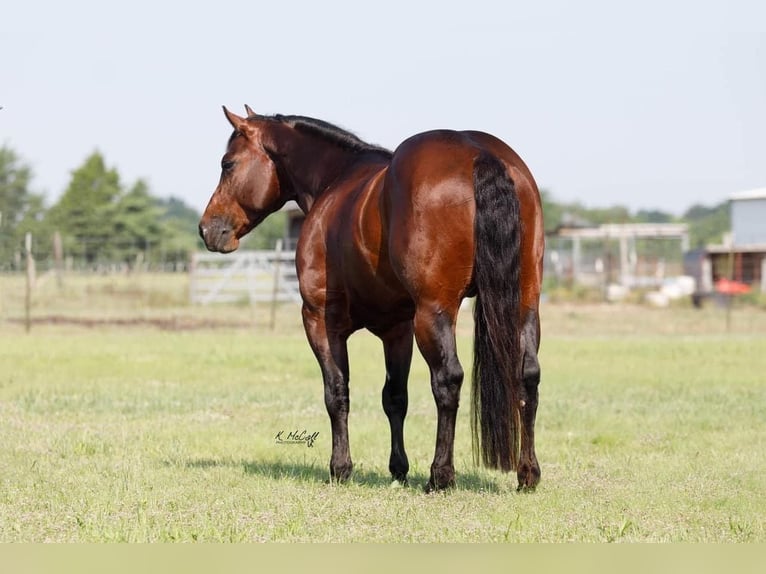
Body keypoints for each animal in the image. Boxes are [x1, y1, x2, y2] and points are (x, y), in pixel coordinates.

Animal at [198, 107, 544, 490]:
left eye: (227, 164)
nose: (207, 228)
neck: (334, 182)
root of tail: (478, 152)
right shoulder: (397, 329)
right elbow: (394, 397)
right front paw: (398, 468)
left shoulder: (321, 320)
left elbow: (336, 391)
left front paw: (340, 468)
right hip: (523, 306)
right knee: (527, 376)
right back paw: (527, 474)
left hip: (435, 313)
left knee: (448, 380)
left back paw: (440, 476)